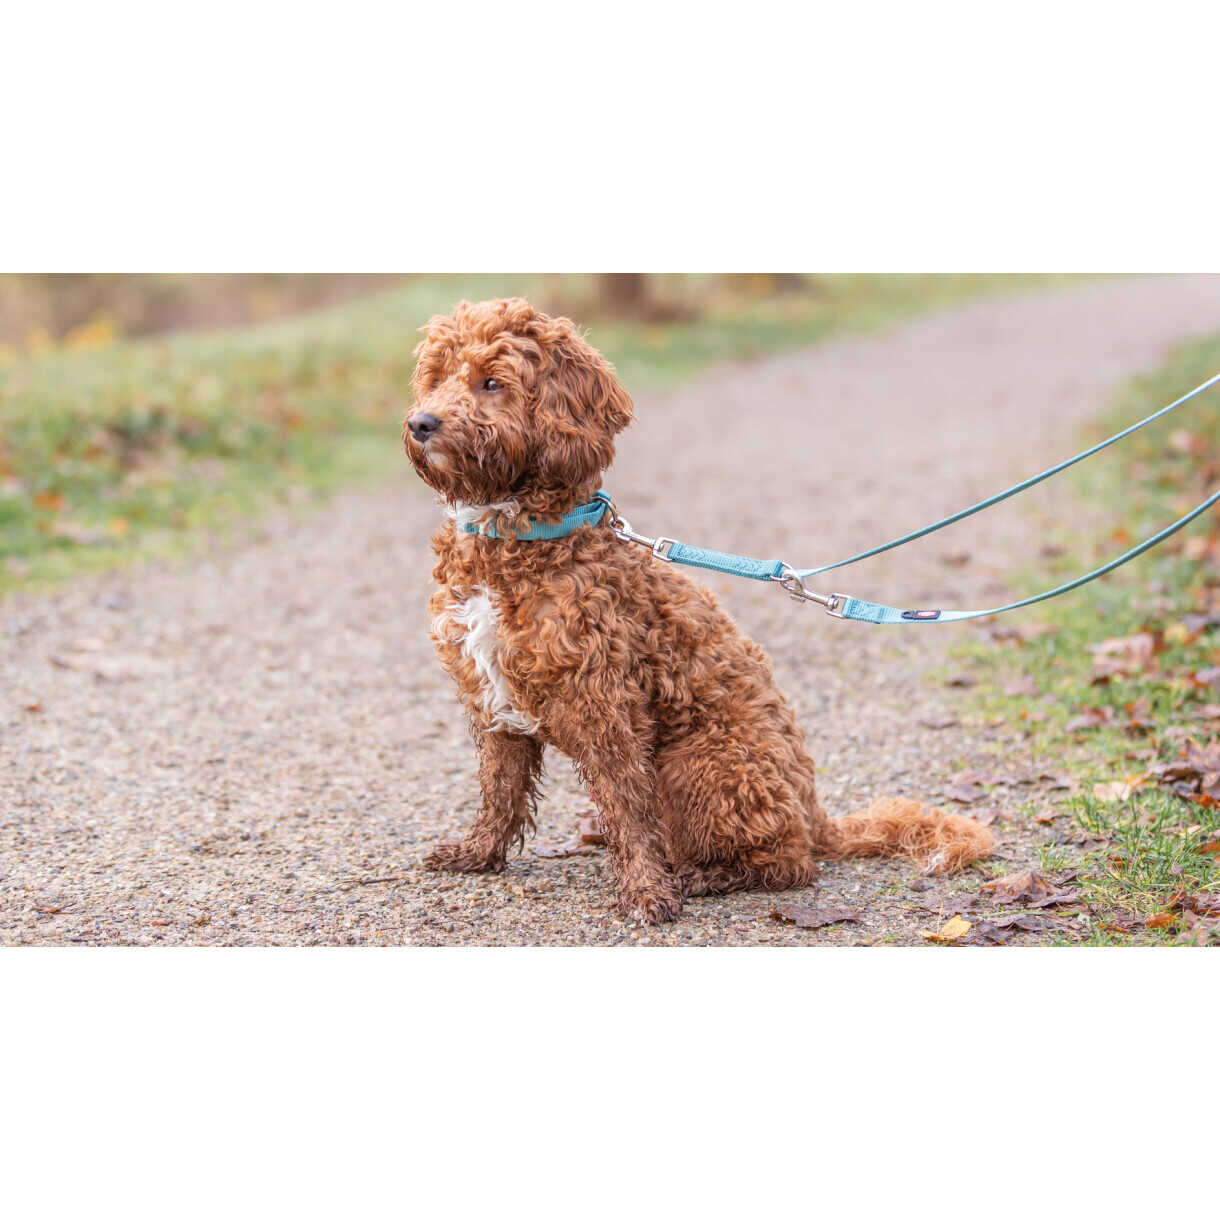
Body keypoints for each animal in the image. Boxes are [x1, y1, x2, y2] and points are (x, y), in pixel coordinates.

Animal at [404, 297, 993, 924]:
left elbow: (626, 806)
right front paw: (478, 853)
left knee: (788, 864)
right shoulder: (491, 697)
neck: (516, 539)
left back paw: (699, 876)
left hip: (697, 766)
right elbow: (499, 790)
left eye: (491, 382)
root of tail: (815, 814)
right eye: (436, 377)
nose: (421, 424)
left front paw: (645, 891)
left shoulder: (605, 703)